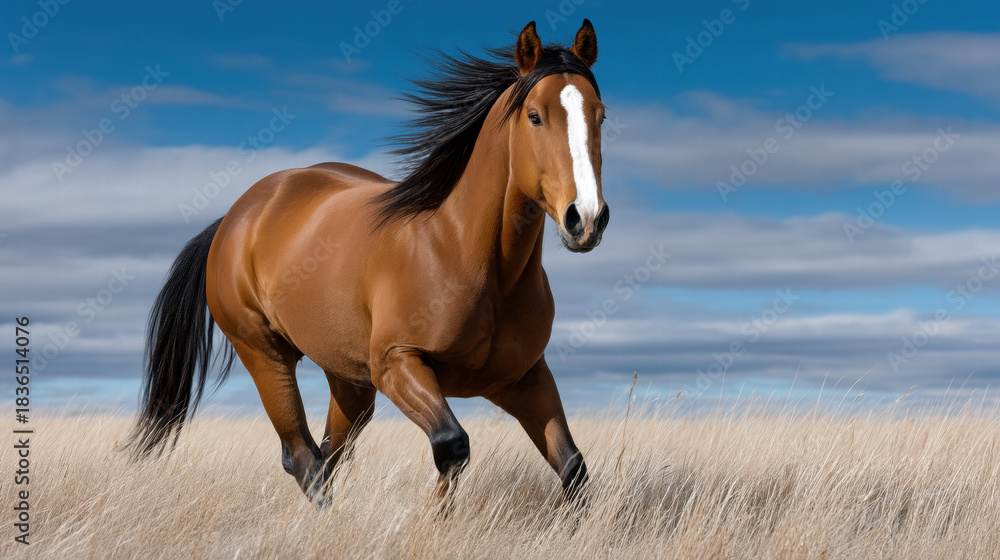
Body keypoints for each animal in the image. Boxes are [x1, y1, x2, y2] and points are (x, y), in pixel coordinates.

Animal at [128, 19, 609, 506]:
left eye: (600, 115)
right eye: (534, 116)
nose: (586, 217)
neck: (464, 254)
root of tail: (234, 217)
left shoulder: (524, 377)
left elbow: (573, 467)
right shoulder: (397, 365)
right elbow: (452, 446)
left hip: (349, 380)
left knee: (326, 455)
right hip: (265, 355)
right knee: (303, 458)